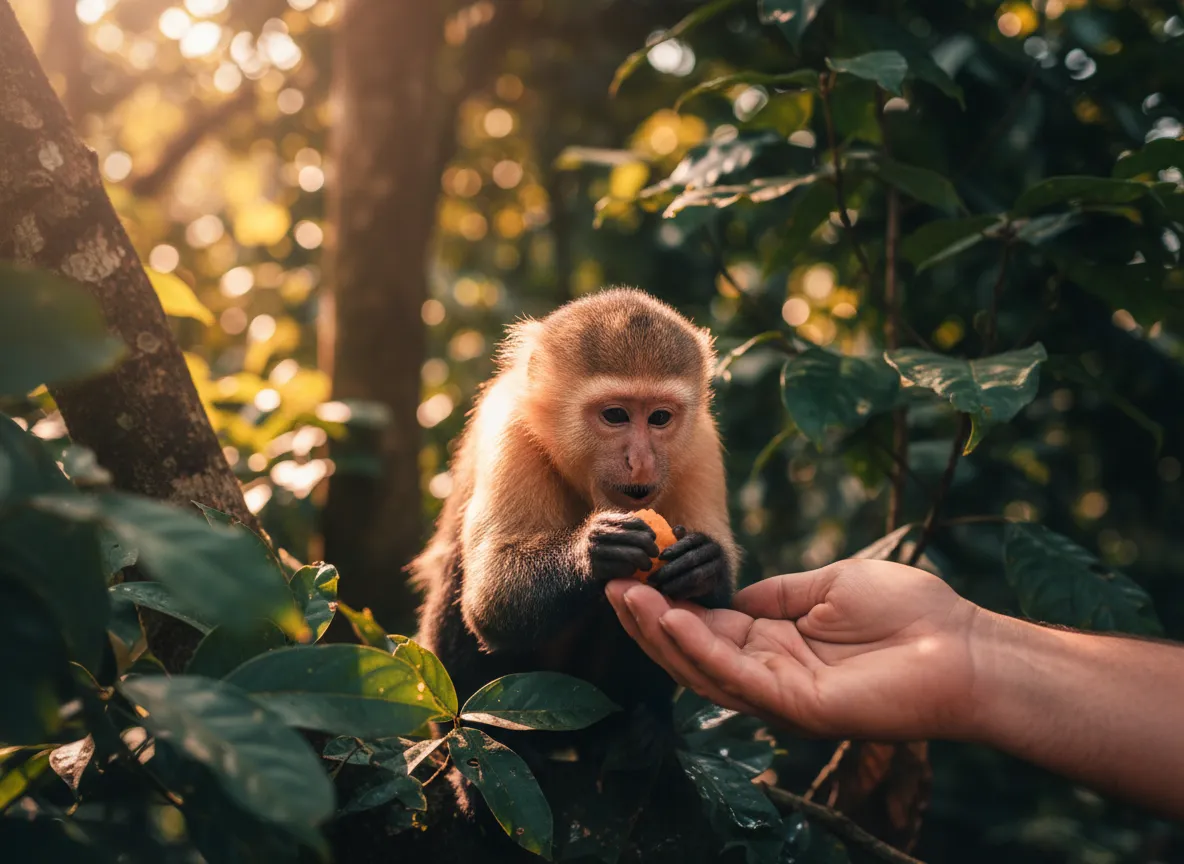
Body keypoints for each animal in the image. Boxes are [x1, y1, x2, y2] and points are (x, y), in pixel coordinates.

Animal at [408, 287, 739, 862]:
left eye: (659, 418)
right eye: (615, 415)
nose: (641, 460)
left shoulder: (699, 443)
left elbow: (715, 607)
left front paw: (704, 567)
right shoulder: (511, 433)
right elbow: (491, 602)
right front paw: (592, 552)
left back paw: (637, 731)